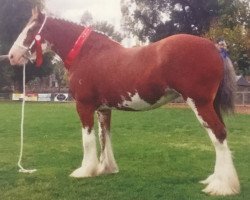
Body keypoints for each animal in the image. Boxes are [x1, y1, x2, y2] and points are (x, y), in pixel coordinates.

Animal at [8, 7, 240, 195]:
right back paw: (215, 179)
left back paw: (221, 186)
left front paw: (85, 170)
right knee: (221, 135)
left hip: (199, 103)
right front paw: (106, 168)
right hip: (212, 104)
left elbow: (88, 140)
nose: (11, 56)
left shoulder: (84, 106)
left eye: (30, 30)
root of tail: (216, 47)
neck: (87, 54)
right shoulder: (103, 109)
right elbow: (104, 137)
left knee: (218, 134)